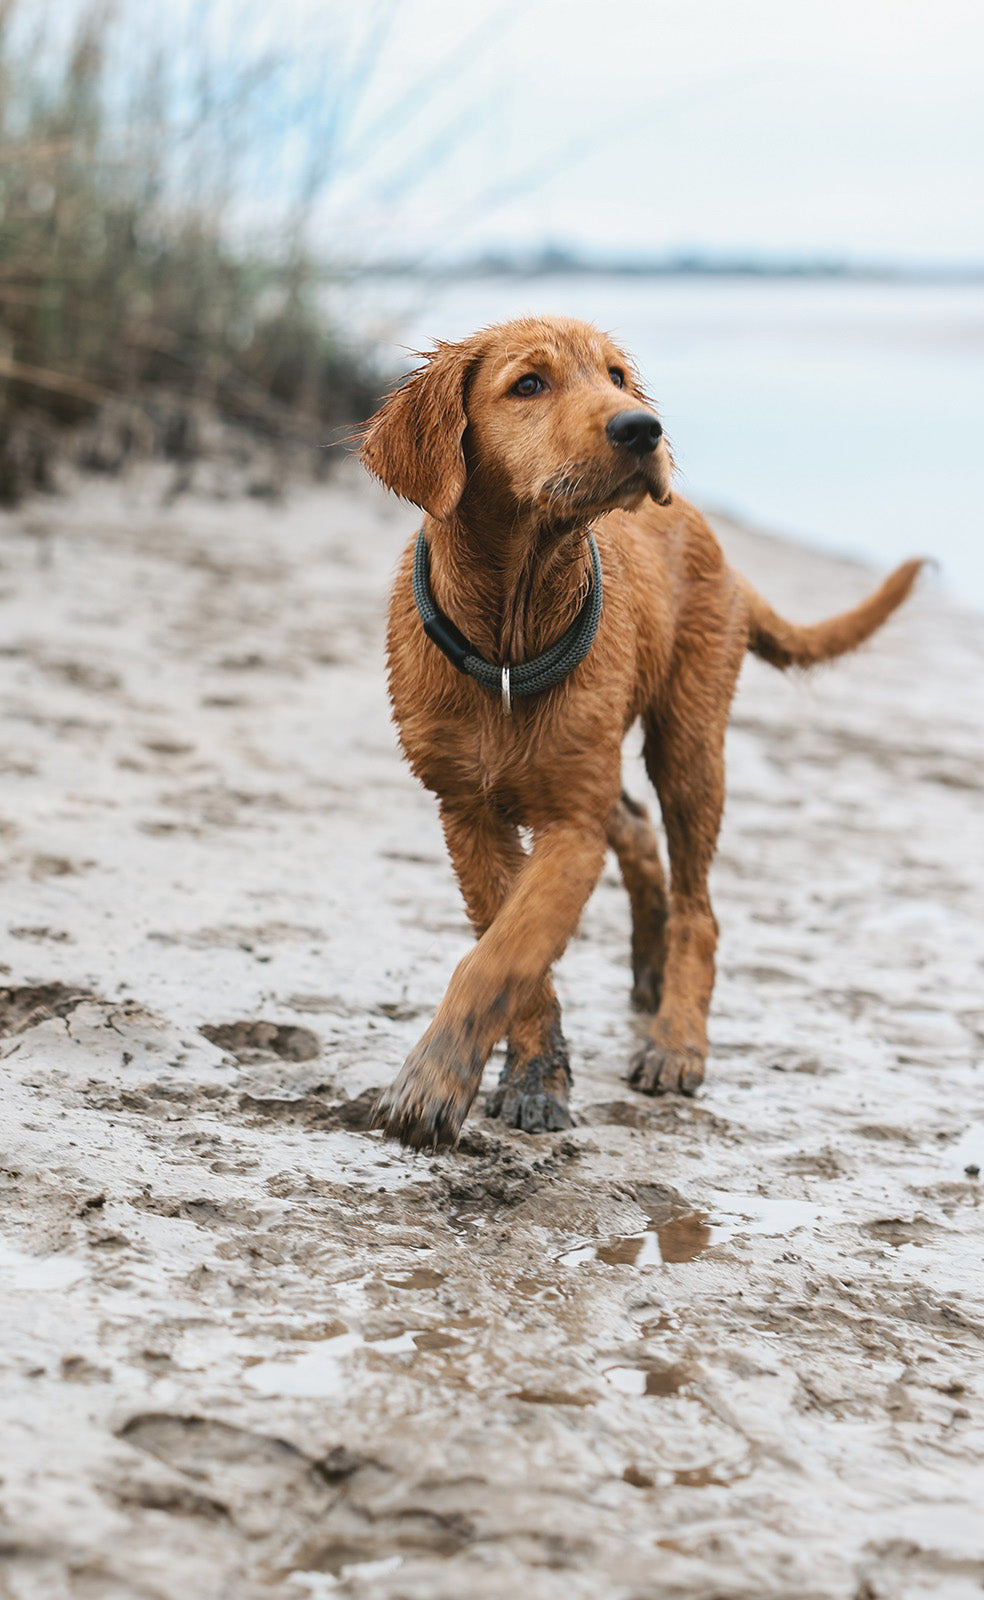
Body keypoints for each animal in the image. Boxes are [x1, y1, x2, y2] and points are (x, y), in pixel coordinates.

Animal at [361, 318, 921, 1152]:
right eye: (529, 384)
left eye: (618, 377)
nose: (642, 428)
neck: (512, 636)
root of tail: (705, 528)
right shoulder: (466, 812)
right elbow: (515, 950)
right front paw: (534, 1074)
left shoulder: (569, 826)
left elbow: (501, 957)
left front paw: (434, 1079)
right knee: (634, 829)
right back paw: (648, 967)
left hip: (688, 745)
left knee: (699, 906)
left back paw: (677, 1038)